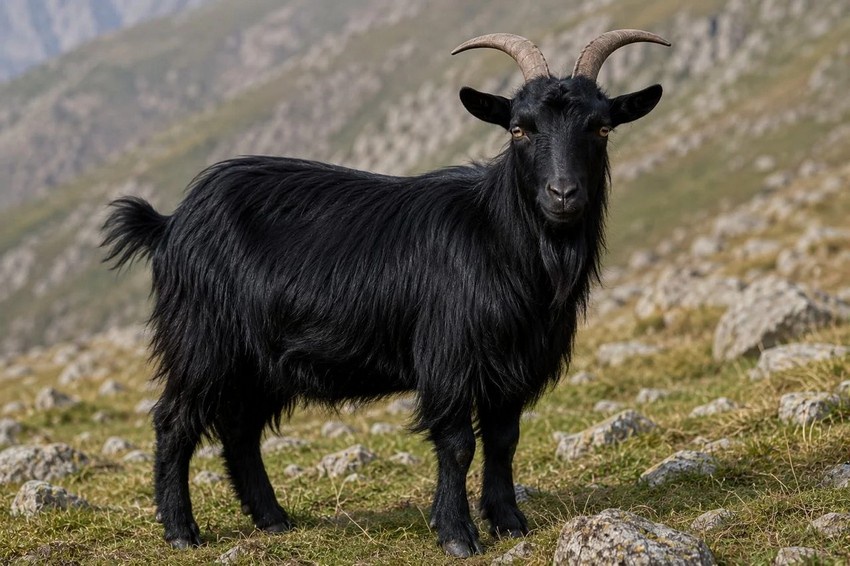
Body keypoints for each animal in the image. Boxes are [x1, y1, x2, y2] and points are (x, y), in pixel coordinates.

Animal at [102, 29, 669, 557]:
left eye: (601, 127)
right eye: (518, 128)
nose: (563, 194)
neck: (497, 238)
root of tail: (169, 224)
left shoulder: (511, 366)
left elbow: (504, 441)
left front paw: (509, 522)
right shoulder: (448, 358)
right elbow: (458, 444)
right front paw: (457, 534)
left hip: (261, 361)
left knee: (240, 431)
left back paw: (273, 520)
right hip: (203, 342)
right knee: (173, 423)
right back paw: (181, 531)